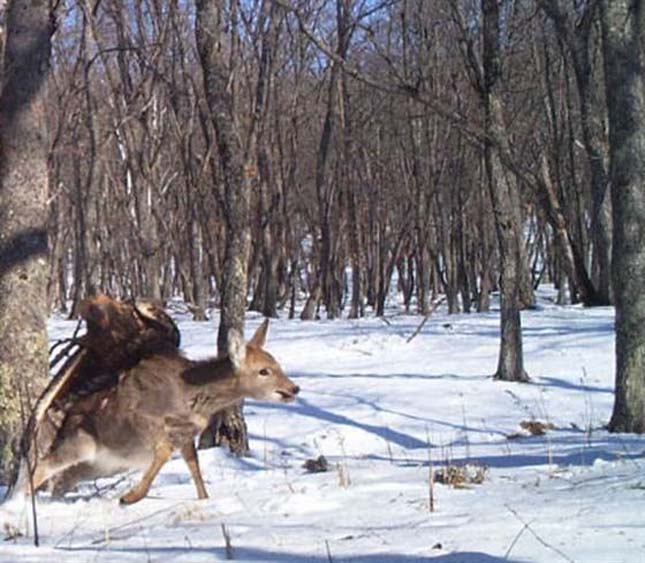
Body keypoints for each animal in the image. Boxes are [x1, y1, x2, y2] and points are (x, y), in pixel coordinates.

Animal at [22, 320, 300, 504]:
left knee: (61, 481)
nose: (293, 388)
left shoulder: (186, 434)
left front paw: (204, 499)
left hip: (101, 464)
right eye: (264, 371)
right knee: (43, 466)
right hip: (81, 442)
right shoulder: (143, 419)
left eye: (277, 363)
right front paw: (131, 496)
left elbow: (194, 465)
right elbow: (165, 451)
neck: (191, 396)